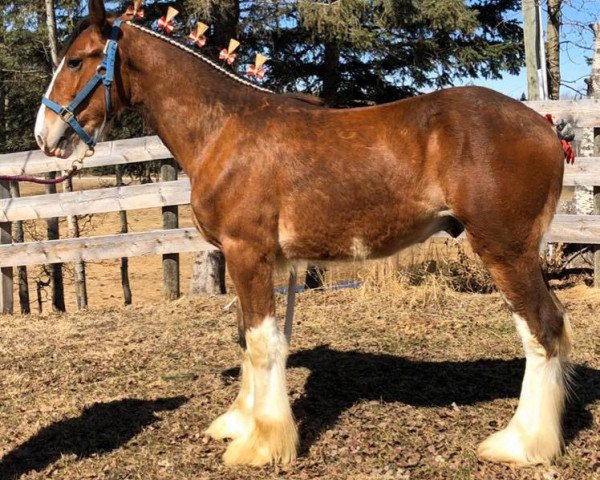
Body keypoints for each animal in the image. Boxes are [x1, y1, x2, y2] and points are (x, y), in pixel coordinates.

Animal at [34, 0, 572, 466]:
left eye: (77, 60)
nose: (43, 136)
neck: (223, 130)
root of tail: (546, 127)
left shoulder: (246, 253)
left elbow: (260, 342)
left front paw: (260, 444)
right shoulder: (257, 260)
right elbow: (248, 337)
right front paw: (240, 422)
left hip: (505, 251)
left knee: (542, 330)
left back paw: (521, 443)